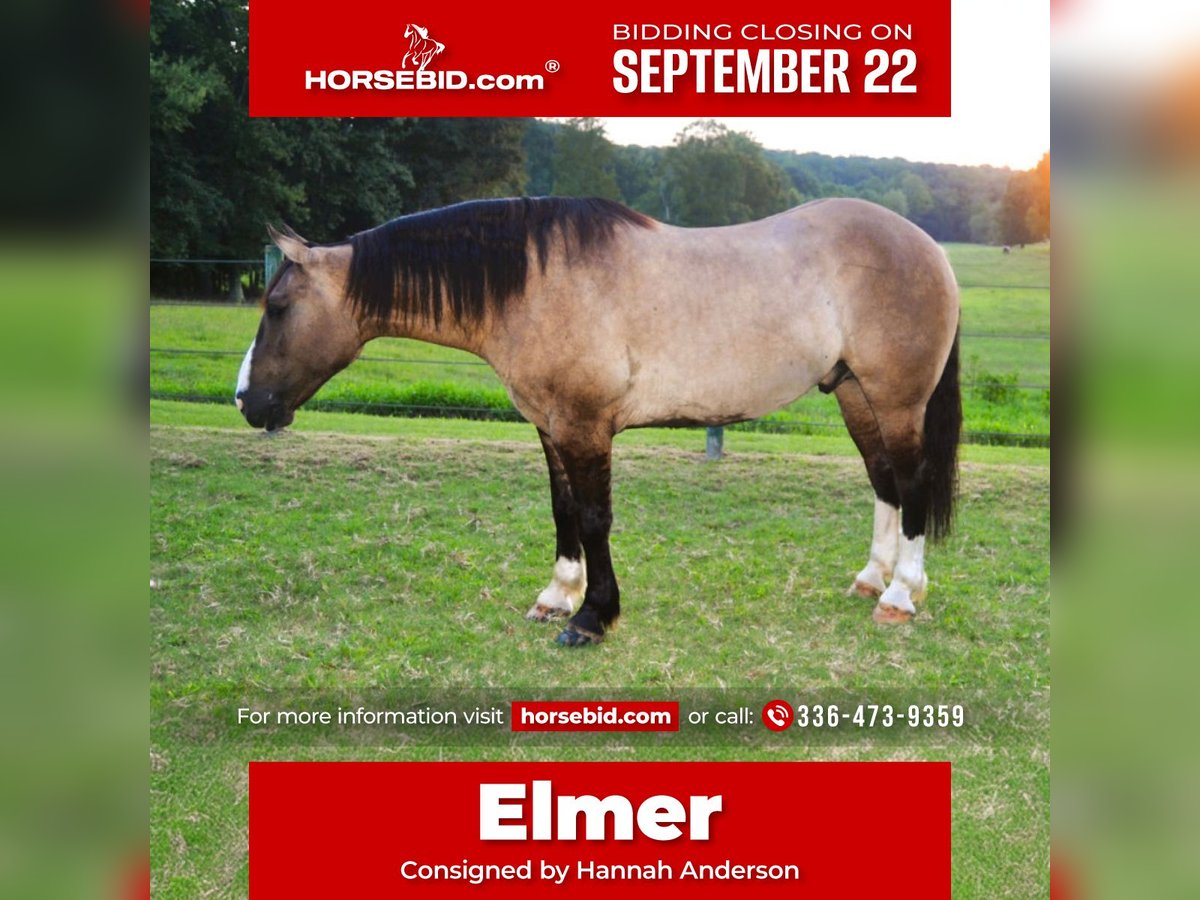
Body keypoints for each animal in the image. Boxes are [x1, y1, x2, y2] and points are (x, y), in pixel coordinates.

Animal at [236, 197, 961, 645]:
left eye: (278, 307)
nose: (246, 400)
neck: (537, 284)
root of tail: (930, 248)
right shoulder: (550, 424)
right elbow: (562, 511)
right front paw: (558, 594)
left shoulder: (585, 426)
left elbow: (592, 517)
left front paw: (592, 617)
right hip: (854, 394)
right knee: (884, 482)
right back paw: (872, 579)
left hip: (895, 400)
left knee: (913, 485)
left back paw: (901, 596)